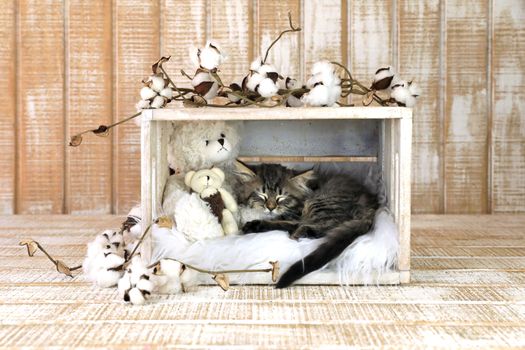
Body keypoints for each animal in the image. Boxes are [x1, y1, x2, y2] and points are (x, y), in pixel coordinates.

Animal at [233, 161, 376, 288]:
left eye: (281, 197)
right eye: (262, 195)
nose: (271, 208)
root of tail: (371, 203)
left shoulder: (296, 213)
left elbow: (279, 220)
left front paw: (252, 225)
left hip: (321, 201)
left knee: (328, 226)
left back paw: (298, 233)